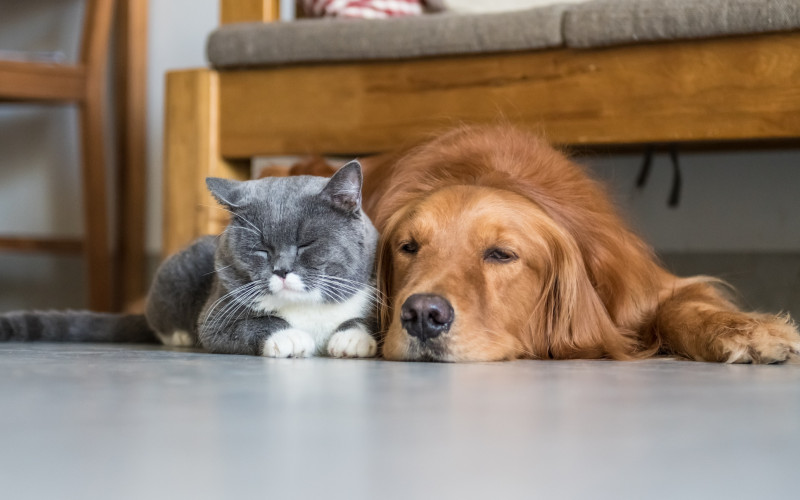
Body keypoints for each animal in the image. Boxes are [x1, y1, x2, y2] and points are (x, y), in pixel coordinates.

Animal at [0, 162, 382, 358]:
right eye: (260, 249)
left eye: (306, 244)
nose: (282, 270)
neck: (306, 311)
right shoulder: (215, 315)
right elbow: (250, 324)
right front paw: (289, 338)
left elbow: (360, 319)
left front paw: (352, 339)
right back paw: (180, 337)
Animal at [282, 123, 800, 362]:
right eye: (408, 247)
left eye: (501, 255)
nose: (422, 316)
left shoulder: (642, 286)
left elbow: (681, 306)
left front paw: (748, 332)